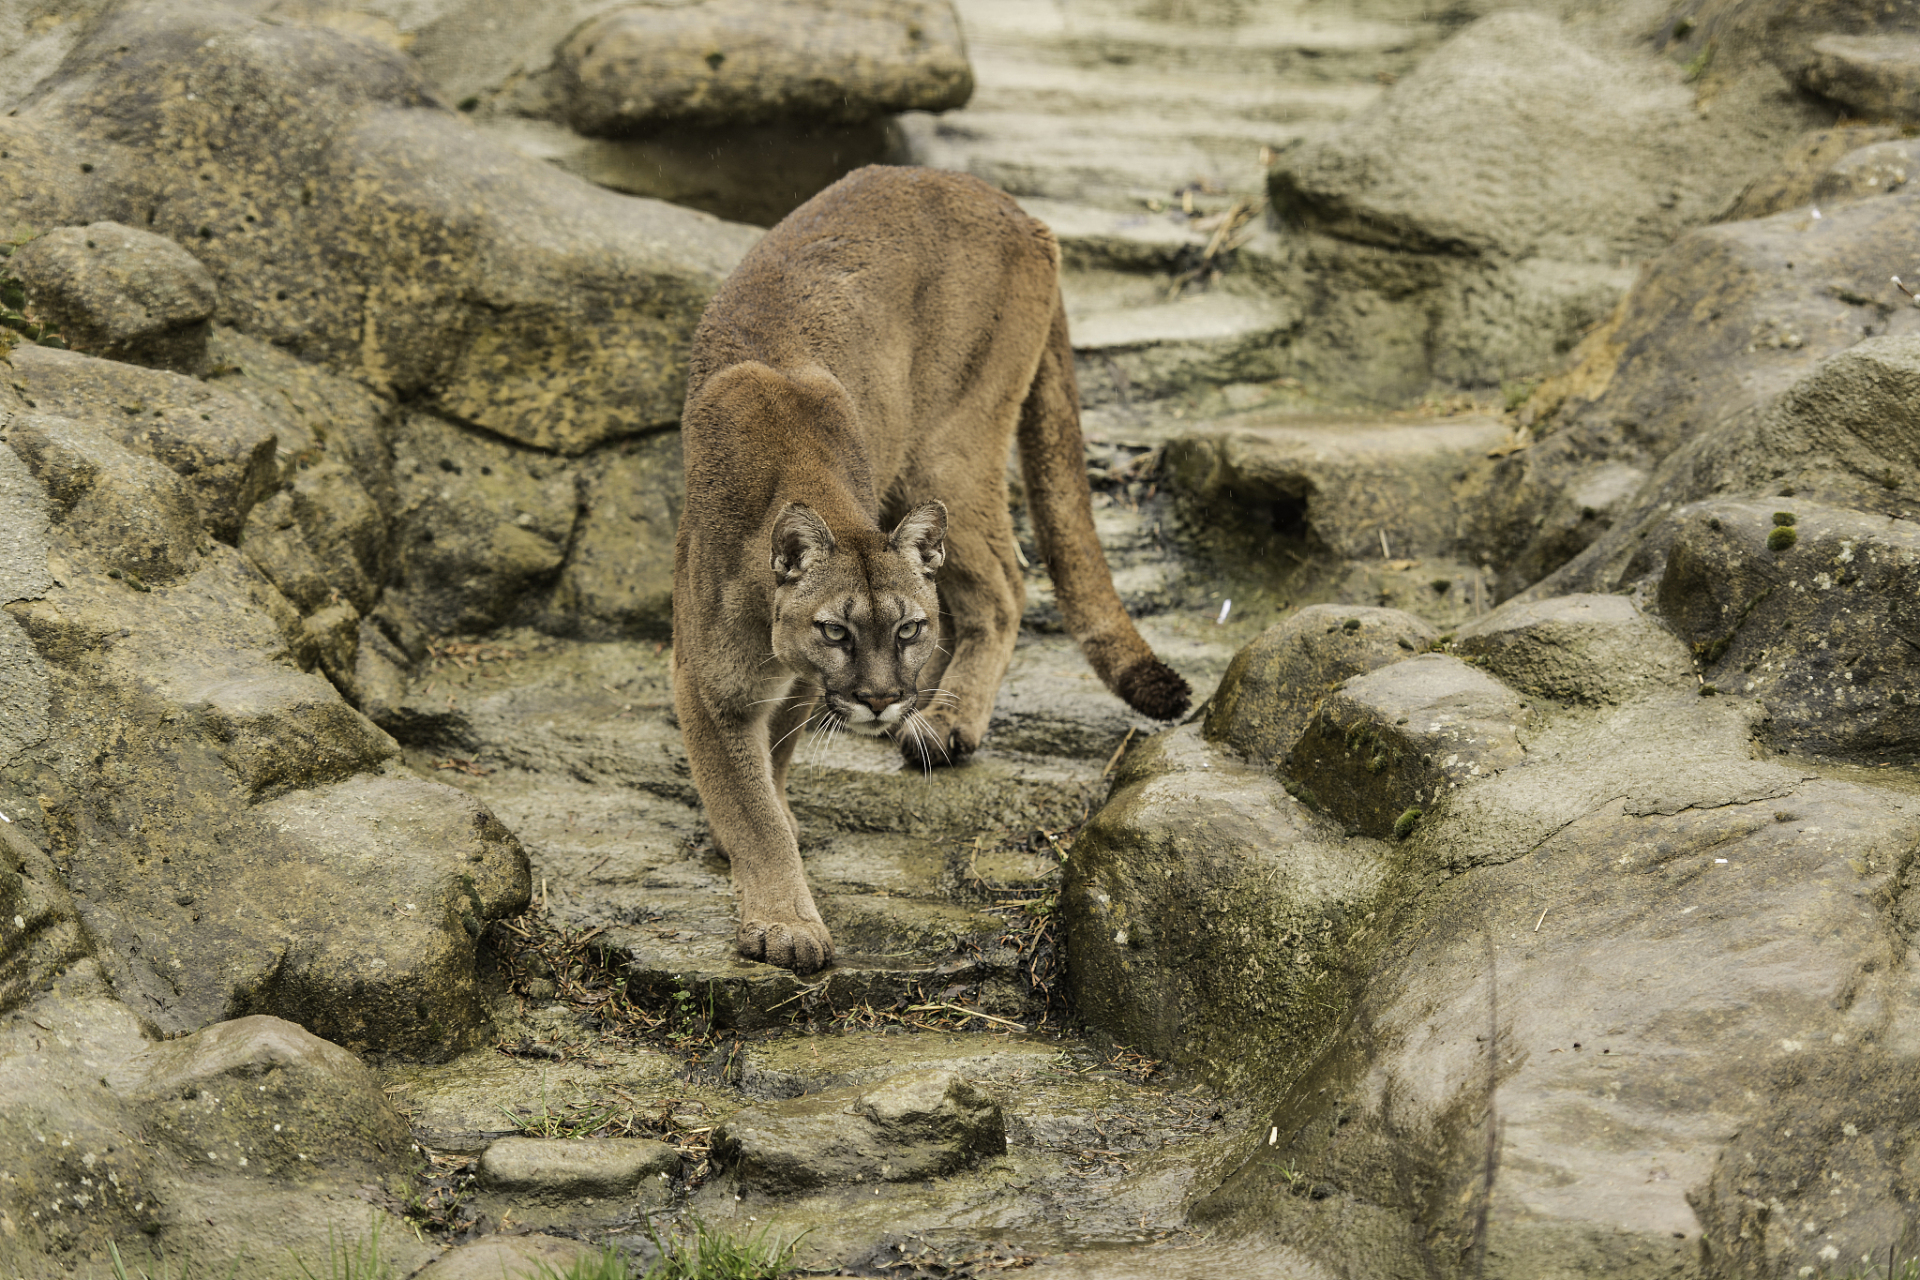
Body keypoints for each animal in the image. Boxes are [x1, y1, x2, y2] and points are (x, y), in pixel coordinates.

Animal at [672, 165, 1182, 974]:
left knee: (1003, 584)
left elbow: (764, 790)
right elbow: (757, 799)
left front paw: (780, 917)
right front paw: (777, 900)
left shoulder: (763, 686)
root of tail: (1013, 206)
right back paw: (925, 714)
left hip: (947, 448)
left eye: (904, 628)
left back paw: (942, 722)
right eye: (836, 632)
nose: (881, 698)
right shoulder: (719, 686)